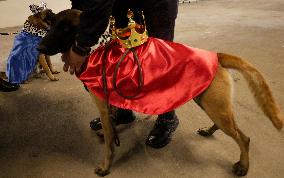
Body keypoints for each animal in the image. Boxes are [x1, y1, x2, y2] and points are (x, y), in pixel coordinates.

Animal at [37, 9, 284, 177]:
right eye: (52, 25)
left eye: (66, 29)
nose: (39, 48)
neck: (97, 49)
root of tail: (215, 55)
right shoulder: (111, 105)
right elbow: (112, 129)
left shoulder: (103, 105)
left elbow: (109, 143)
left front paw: (106, 166)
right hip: (210, 103)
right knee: (230, 126)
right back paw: (208, 131)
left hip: (214, 106)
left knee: (244, 138)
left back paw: (243, 166)